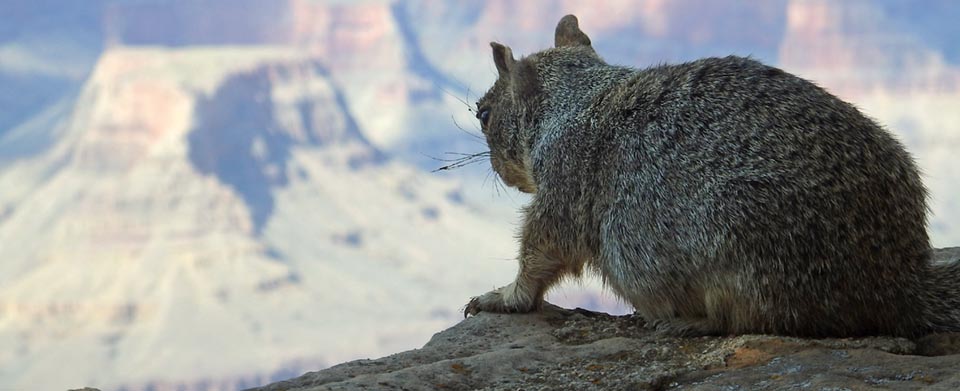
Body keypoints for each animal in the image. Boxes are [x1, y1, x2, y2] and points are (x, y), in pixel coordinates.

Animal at [464, 12, 960, 336]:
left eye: (483, 114)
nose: (499, 172)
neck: (574, 98)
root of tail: (901, 285)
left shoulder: (561, 186)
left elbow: (540, 250)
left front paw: (499, 297)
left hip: (742, 249)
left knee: (750, 320)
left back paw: (685, 324)